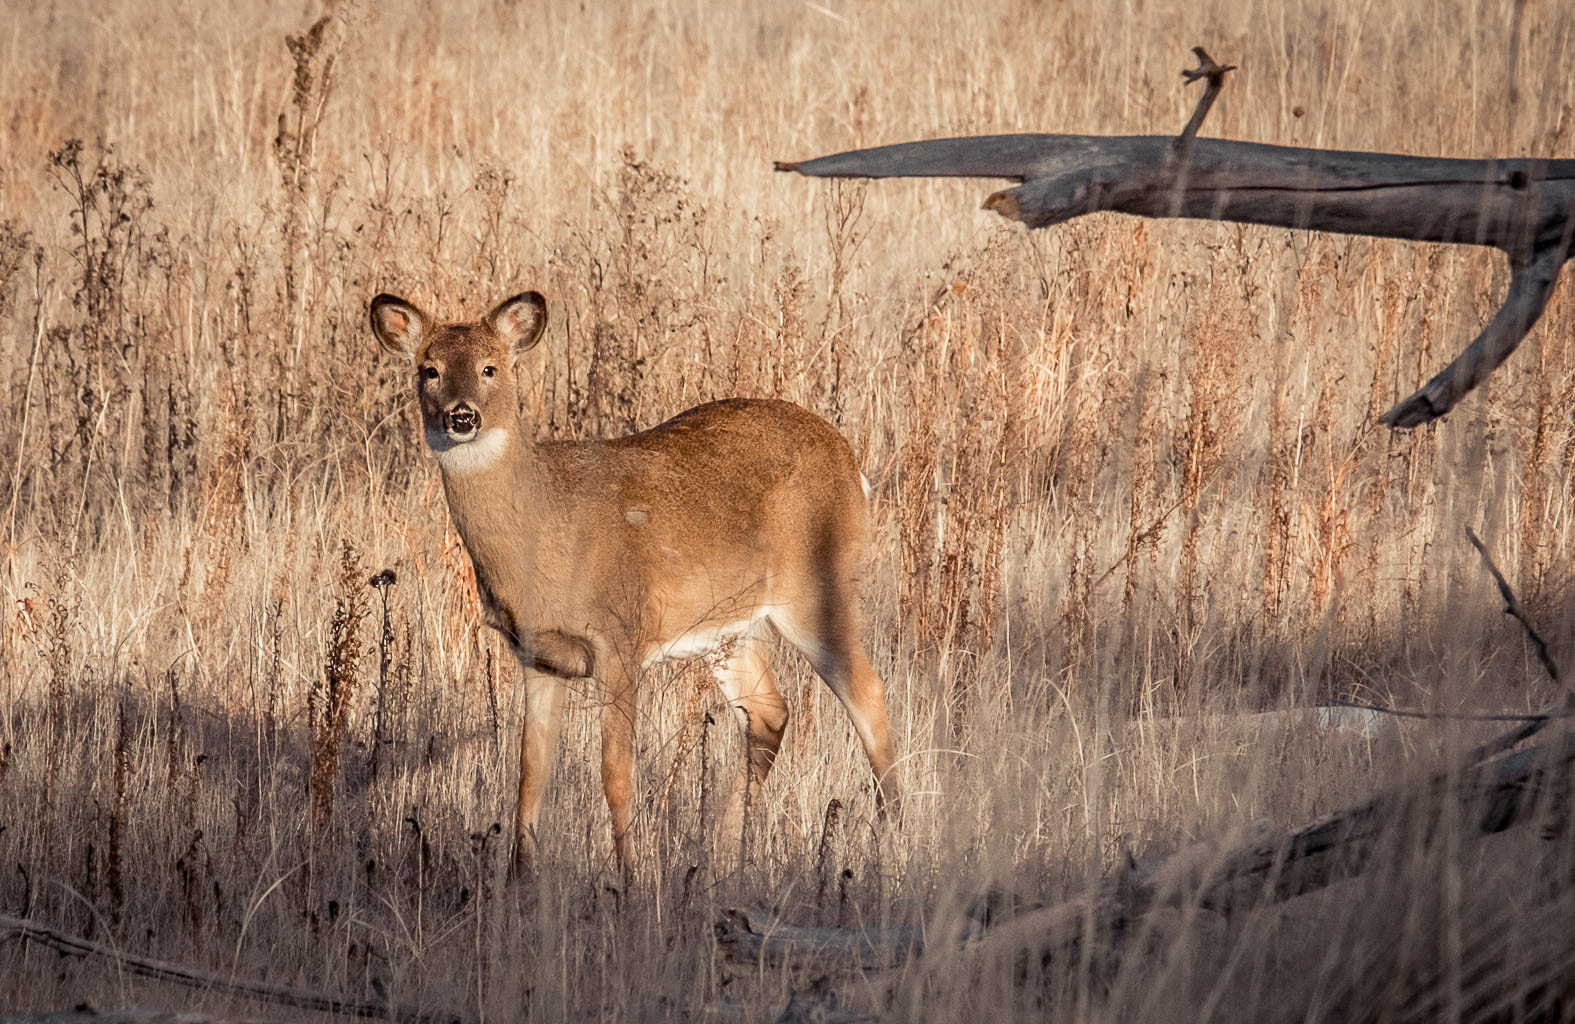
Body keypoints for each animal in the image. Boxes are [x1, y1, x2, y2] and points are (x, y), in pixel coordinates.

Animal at [371, 289, 900, 875]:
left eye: (492, 367)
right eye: (429, 370)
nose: (462, 415)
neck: (545, 534)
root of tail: (852, 463)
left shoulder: (620, 638)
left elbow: (617, 773)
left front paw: (630, 878)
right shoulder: (538, 655)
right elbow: (530, 774)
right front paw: (517, 877)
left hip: (816, 586)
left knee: (869, 696)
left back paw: (893, 842)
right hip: (727, 627)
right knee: (770, 710)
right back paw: (721, 849)